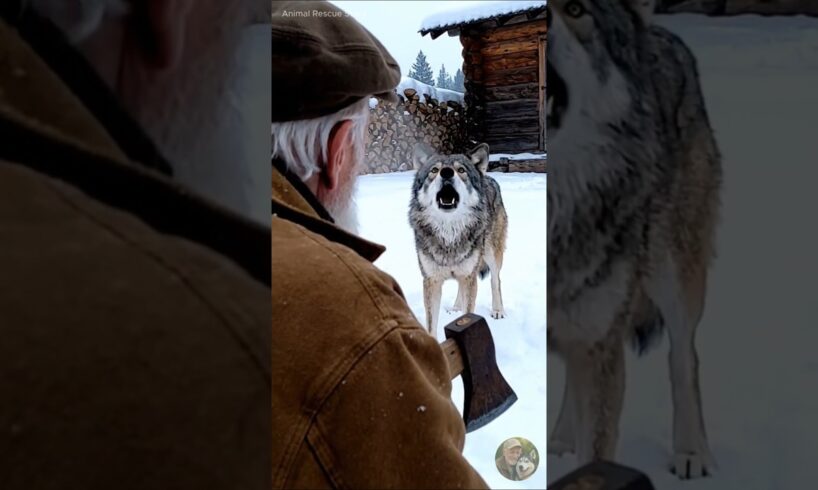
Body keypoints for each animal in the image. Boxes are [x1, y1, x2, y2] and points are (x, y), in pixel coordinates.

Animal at [409, 143, 508, 338]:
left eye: (461, 170)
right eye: (434, 170)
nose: (446, 172)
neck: (449, 234)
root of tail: (488, 177)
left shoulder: (469, 276)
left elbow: (468, 313)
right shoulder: (431, 281)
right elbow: (431, 325)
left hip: (491, 254)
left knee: (496, 280)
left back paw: (497, 310)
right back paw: (455, 307)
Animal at [546, 0, 722, 479]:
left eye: (575, 9)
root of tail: (663, 34)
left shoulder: (601, 345)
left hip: (671, 275)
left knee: (685, 357)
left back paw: (691, 452)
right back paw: (559, 439)